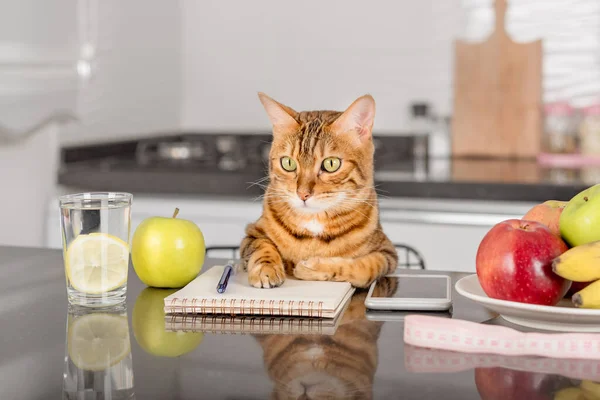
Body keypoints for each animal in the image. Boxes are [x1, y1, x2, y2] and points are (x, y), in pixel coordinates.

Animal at [239, 92, 398, 290]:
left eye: (331, 164)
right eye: (288, 163)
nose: (303, 194)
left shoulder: (387, 253)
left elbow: (366, 266)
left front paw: (312, 267)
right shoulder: (252, 233)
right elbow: (262, 246)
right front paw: (266, 269)